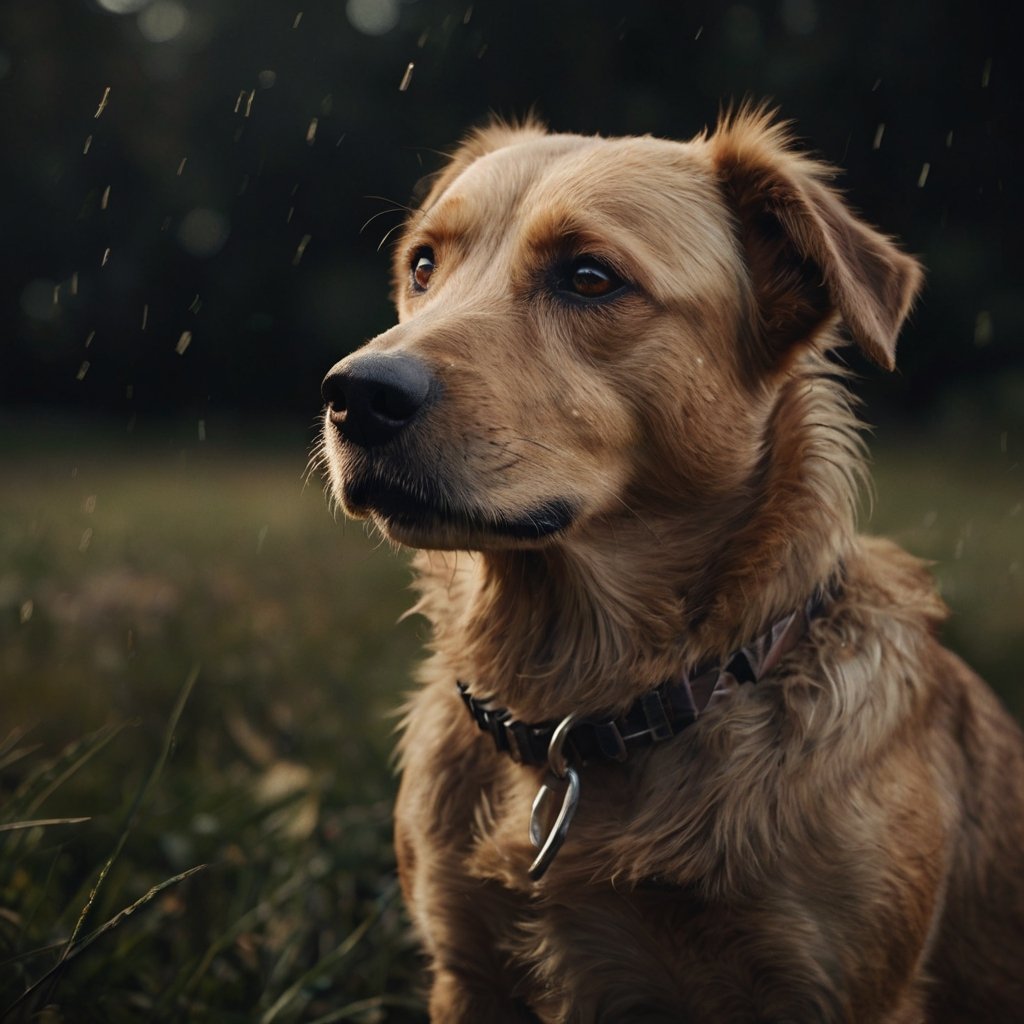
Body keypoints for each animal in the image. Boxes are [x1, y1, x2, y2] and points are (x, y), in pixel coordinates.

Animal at [319, 108, 1024, 1019]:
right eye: (423, 267)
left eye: (589, 278)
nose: (354, 394)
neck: (587, 718)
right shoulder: (465, 971)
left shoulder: (842, 990)